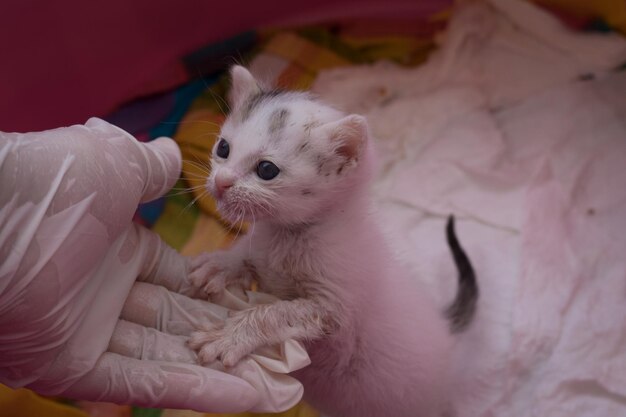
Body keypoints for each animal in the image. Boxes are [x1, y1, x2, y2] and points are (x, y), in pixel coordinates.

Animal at [188, 66, 476, 416]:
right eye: (223, 149)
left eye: (266, 169)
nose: (221, 182)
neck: (289, 235)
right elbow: (246, 255)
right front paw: (219, 265)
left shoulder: (335, 313)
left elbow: (276, 313)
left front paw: (231, 335)